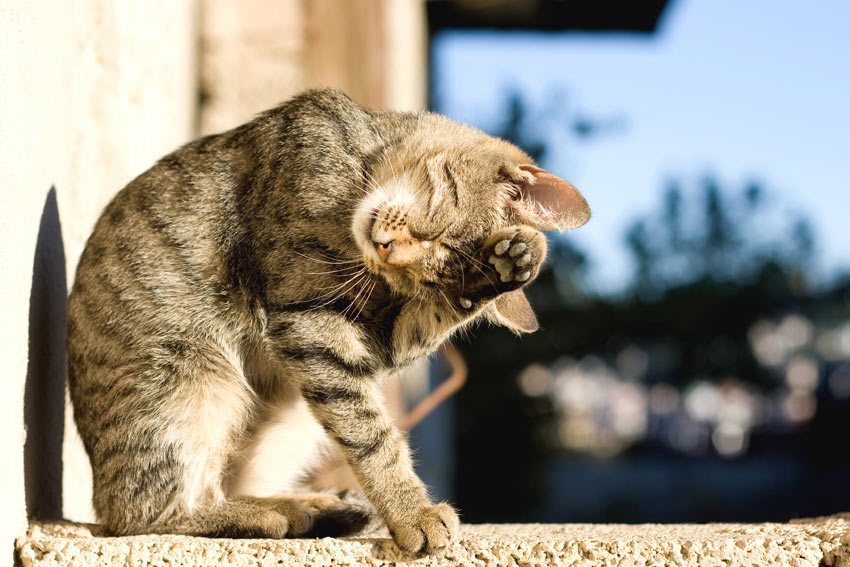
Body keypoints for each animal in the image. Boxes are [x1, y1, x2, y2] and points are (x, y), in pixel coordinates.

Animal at [66, 90, 588, 556]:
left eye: (422, 280)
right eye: (438, 237)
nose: (386, 253)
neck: (358, 158)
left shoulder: (373, 338)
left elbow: (405, 362)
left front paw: (509, 268)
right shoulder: (308, 320)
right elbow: (373, 437)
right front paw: (412, 513)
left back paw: (319, 507)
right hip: (190, 383)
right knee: (147, 512)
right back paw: (275, 514)